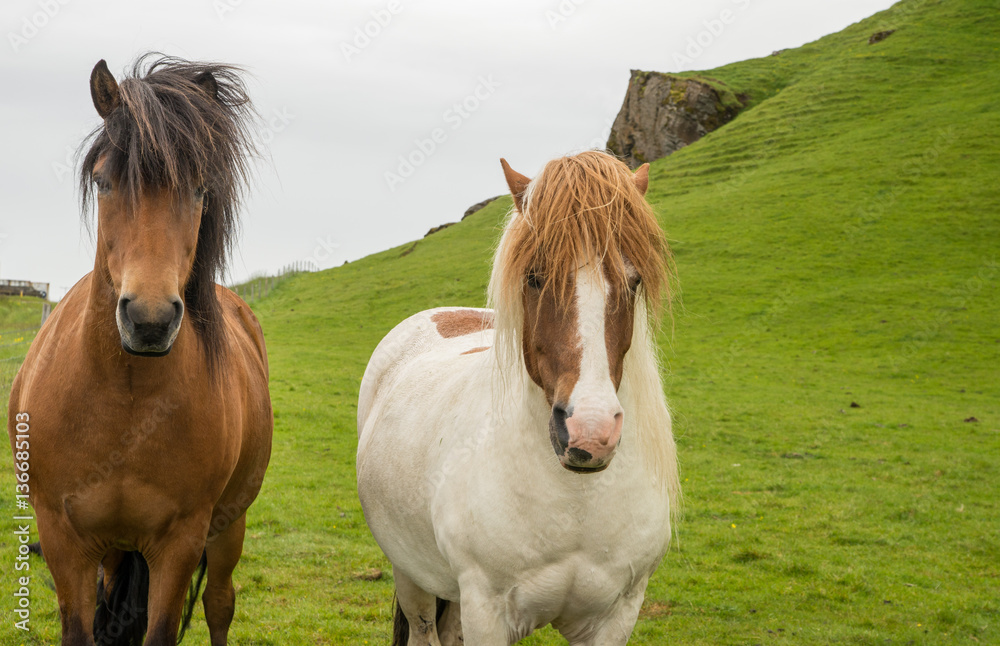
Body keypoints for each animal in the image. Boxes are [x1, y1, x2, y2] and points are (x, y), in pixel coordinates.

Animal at [6, 55, 272, 646]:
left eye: (198, 189)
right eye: (104, 181)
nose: (149, 321)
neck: (126, 401)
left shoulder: (179, 544)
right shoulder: (64, 541)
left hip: (229, 527)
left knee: (219, 605)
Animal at [357, 150, 681, 645]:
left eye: (634, 281)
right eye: (534, 277)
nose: (589, 433)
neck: (575, 503)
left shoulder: (617, 616)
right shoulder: (487, 613)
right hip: (411, 575)